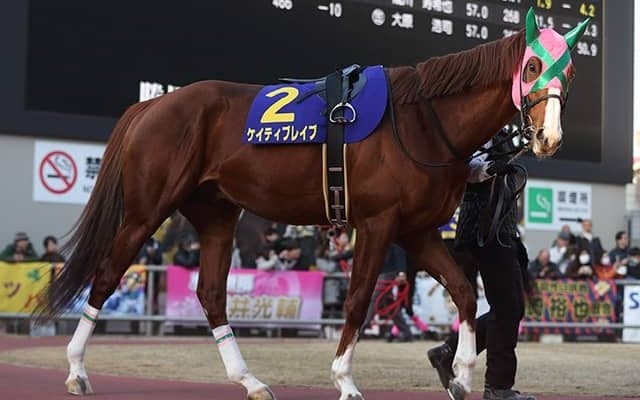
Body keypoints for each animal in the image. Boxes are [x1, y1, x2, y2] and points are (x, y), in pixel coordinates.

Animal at [35, 8, 589, 400]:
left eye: (570, 73)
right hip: (146, 210)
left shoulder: (416, 231)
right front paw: (345, 380)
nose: (549, 138)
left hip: (216, 214)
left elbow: (466, 293)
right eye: (533, 65)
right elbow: (360, 298)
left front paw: (460, 375)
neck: (422, 121)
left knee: (211, 293)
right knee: (107, 274)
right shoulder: (378, 225)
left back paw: (250, 381)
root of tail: (154, 104)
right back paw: (76, 369)